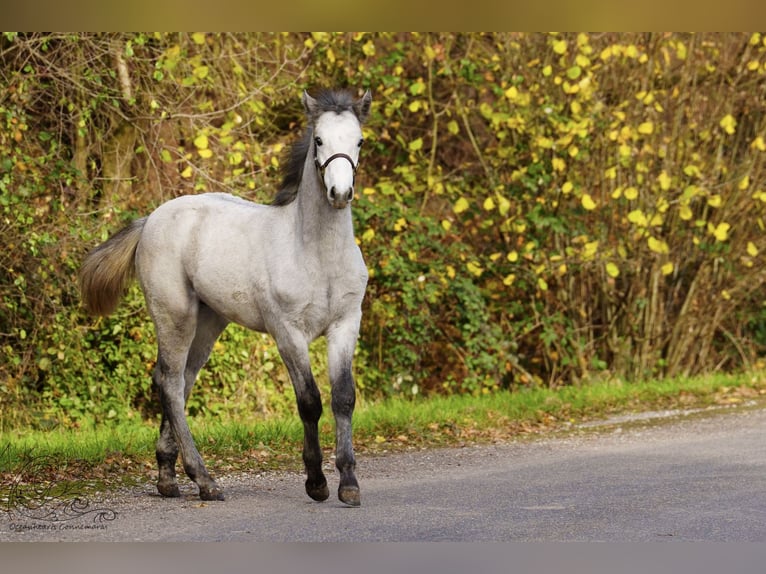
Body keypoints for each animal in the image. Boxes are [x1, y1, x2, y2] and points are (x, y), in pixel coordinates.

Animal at [79, 88, 372, 506]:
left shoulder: (345, 324)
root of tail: (151, 219)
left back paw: (168, 477)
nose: (340, 194)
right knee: (169, 382)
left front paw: (348, 483)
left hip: (208, 322)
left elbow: (343, 397)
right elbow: (310, 401)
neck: (317, 254)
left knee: (182, 380)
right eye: (318, 140)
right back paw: (204, 480)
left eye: (359, 141)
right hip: (175, 316)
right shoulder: (288, 332)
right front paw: (316, 483)